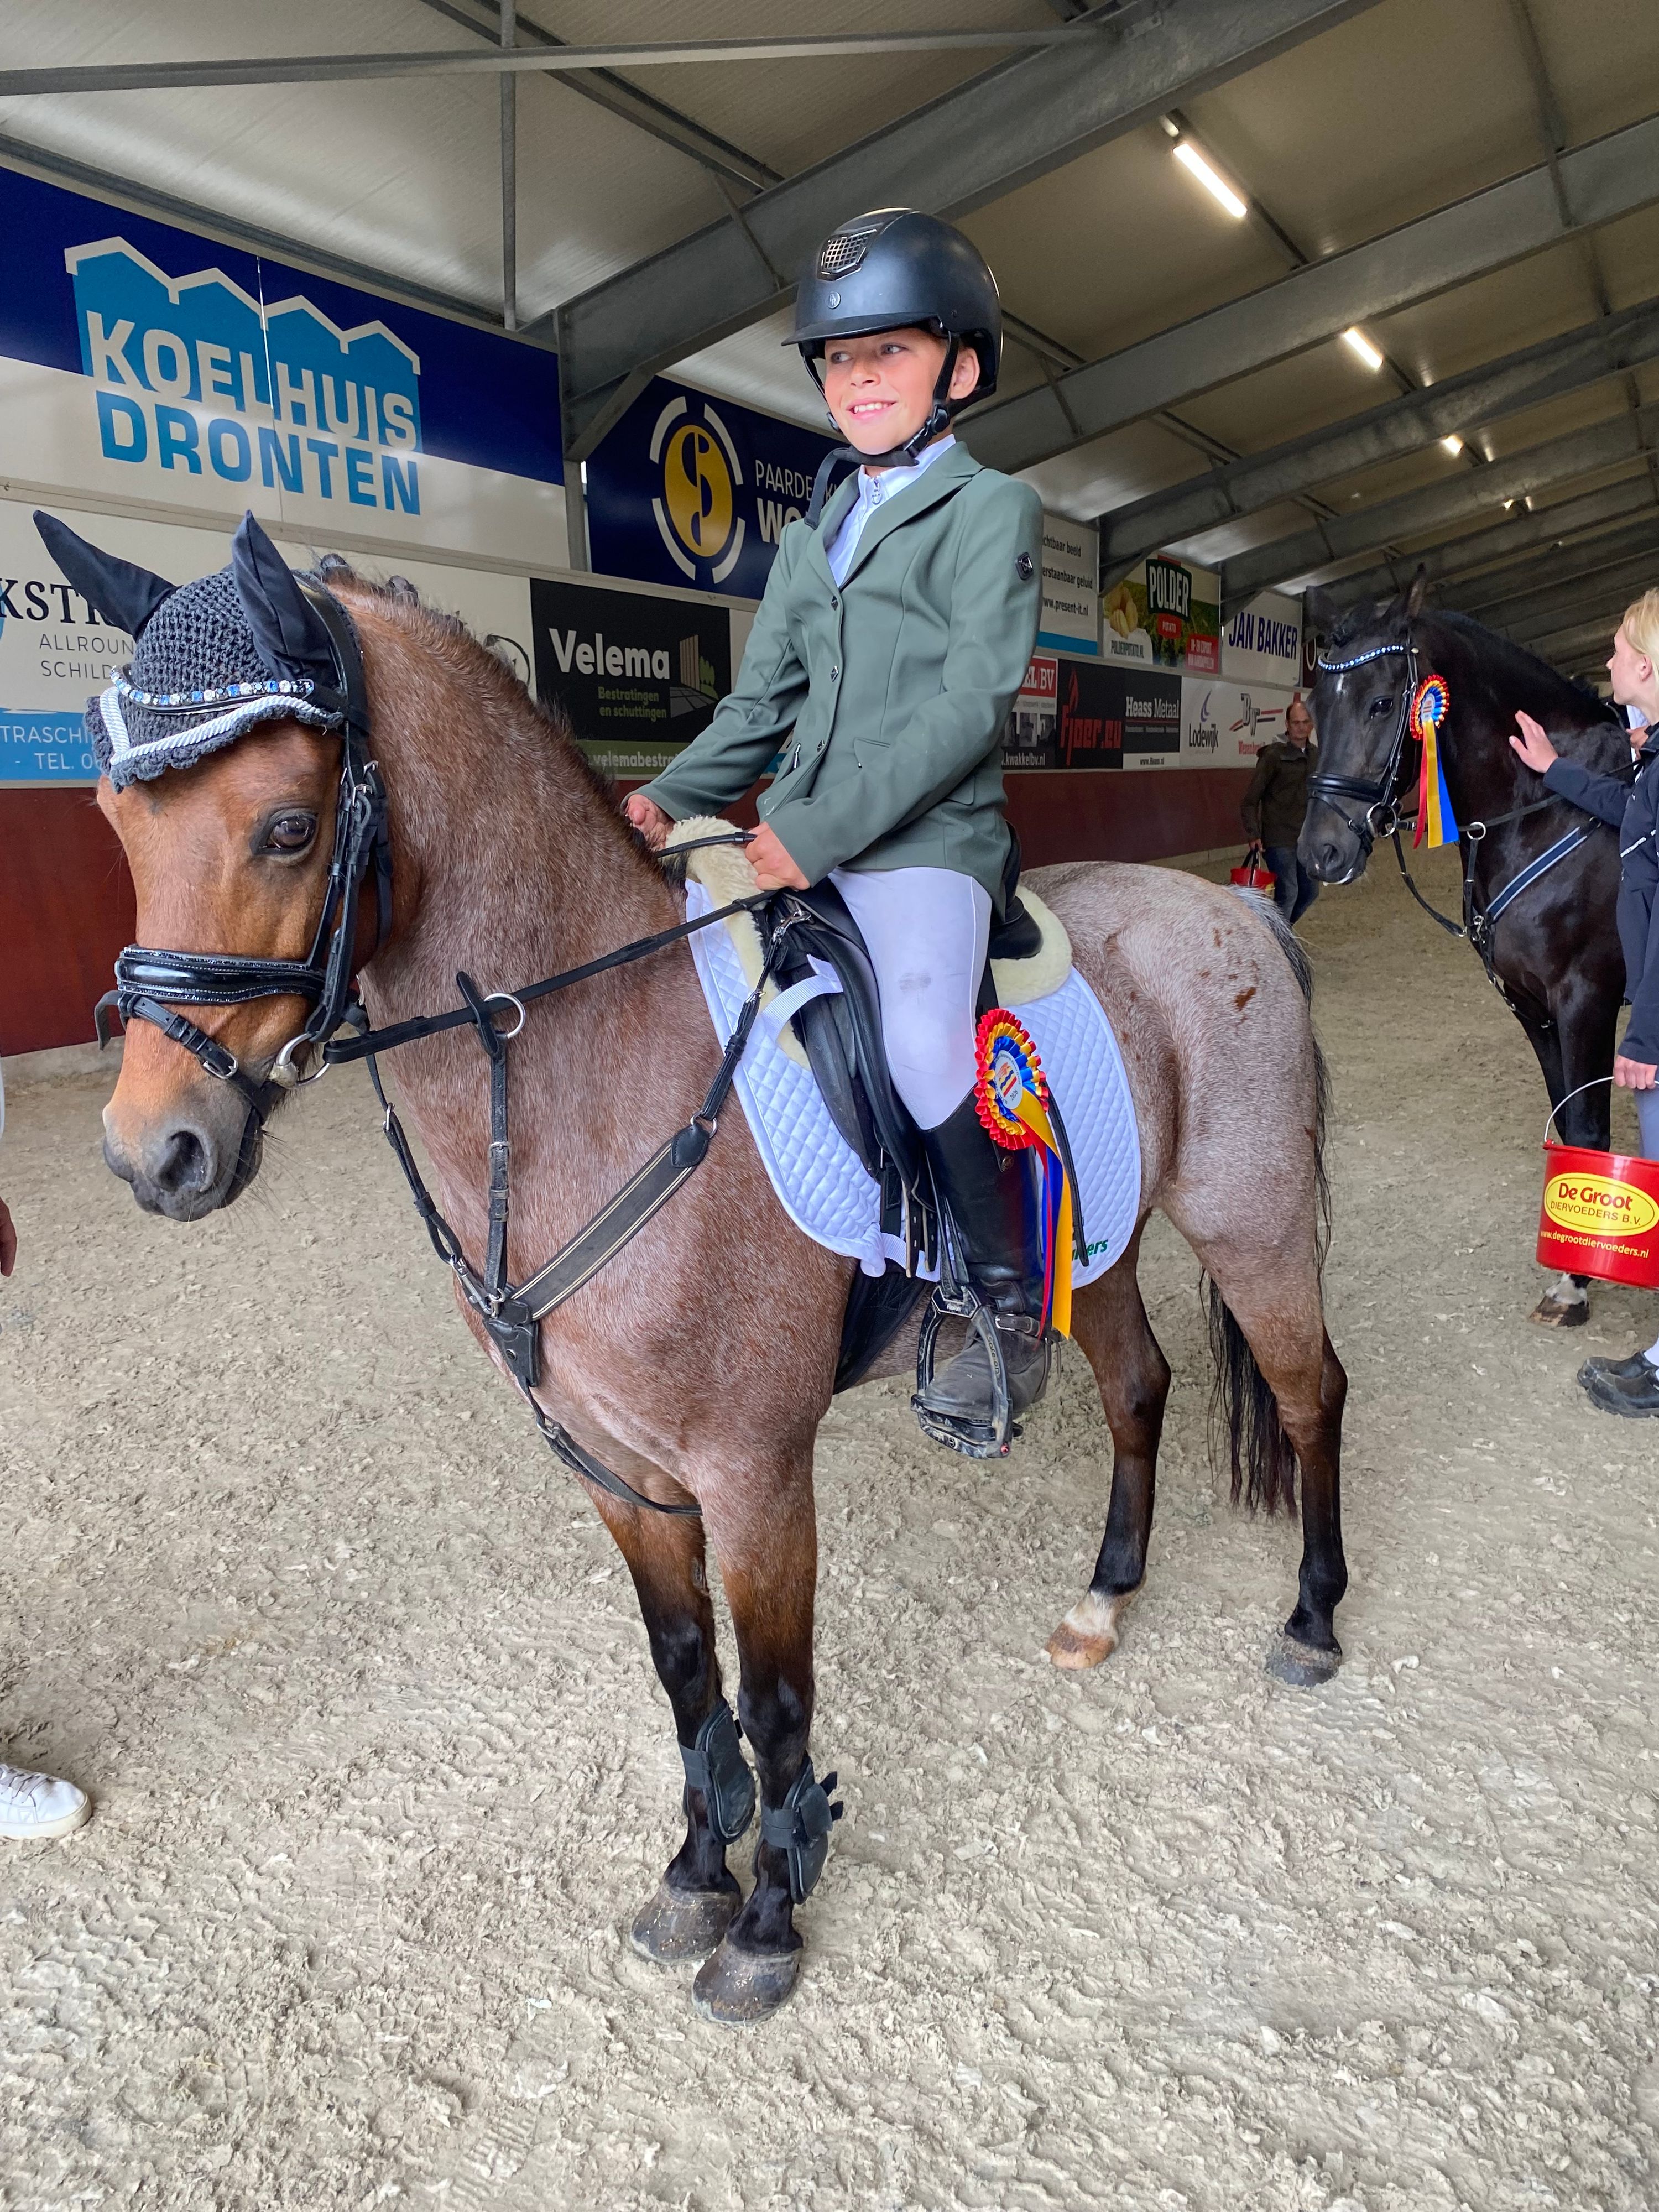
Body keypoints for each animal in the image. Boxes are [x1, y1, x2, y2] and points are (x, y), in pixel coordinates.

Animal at [92, 550, 1347, 2028]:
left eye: (287, 828)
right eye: (117, 817)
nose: (153, 1153)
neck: (589, 1062)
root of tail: (1230, 903)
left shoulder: (754, 1470)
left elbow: (779, 1695)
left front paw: (766, 1920)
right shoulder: (616, 1467)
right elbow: (688, 1675)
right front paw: (697, 1871)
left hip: (1250, 1218)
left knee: (1309, 1392)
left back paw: (1312, 1618)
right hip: (1087, 1249)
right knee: (1140, 1388)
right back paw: (1105, 1596)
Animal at [1299, 574, 1628, 1329]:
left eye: (1382, 702)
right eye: (1315, 704)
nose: (1320, 852)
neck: (1550, 807)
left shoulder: (1588, 996)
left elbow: (1589, 1131)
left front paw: (1576, 1282)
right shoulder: (1532, 1005)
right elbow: (1564, 1121)